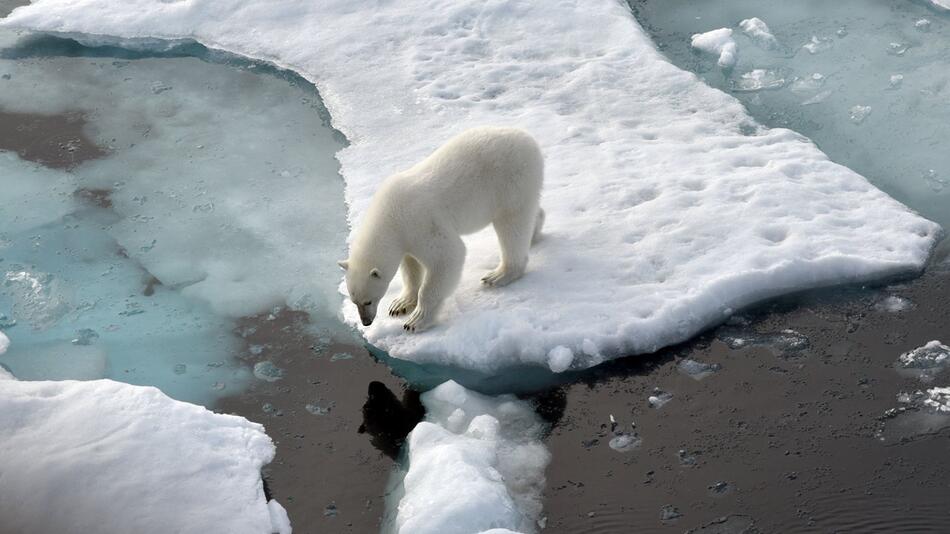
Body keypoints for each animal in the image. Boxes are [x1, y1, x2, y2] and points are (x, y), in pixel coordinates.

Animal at [340, 127, 548, 332]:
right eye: (354, 301)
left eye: (368, 301)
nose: (366, 322)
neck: (390, 215)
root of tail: (529, 140)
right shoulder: (406, 237)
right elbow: (411, 266)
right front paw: (400, 304)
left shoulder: (420, 222)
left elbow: (447, 256)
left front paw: (416, 320)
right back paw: (534, 233)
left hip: (511, 180)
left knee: (512, 224)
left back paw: (499, 274)